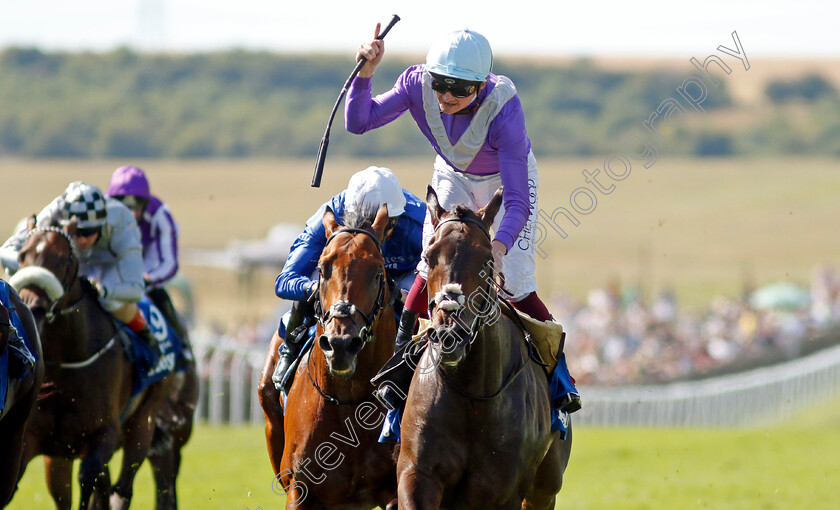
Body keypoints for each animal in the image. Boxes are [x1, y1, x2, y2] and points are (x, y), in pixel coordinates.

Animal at [11, 227, 174, 510]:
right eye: (22, 254)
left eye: (63, 260)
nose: (32, 307)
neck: (66, 363)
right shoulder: (35, 438)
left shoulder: (104, 435)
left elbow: (88, 479)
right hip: (60, 455)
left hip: (143, 420)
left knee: (123, 487)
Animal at [270, 204, 400, 510]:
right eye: (322, 268)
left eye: (377, 272)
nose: (341, 344)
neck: (347, 402)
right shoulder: (298, 488)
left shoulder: (395, 488)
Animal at [396, 187, 572, 510]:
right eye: (428, 256)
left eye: (488, 259)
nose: (448, 334)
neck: (471, 391)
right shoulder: (416, 473)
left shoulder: (502, 490)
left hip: (545, 487)